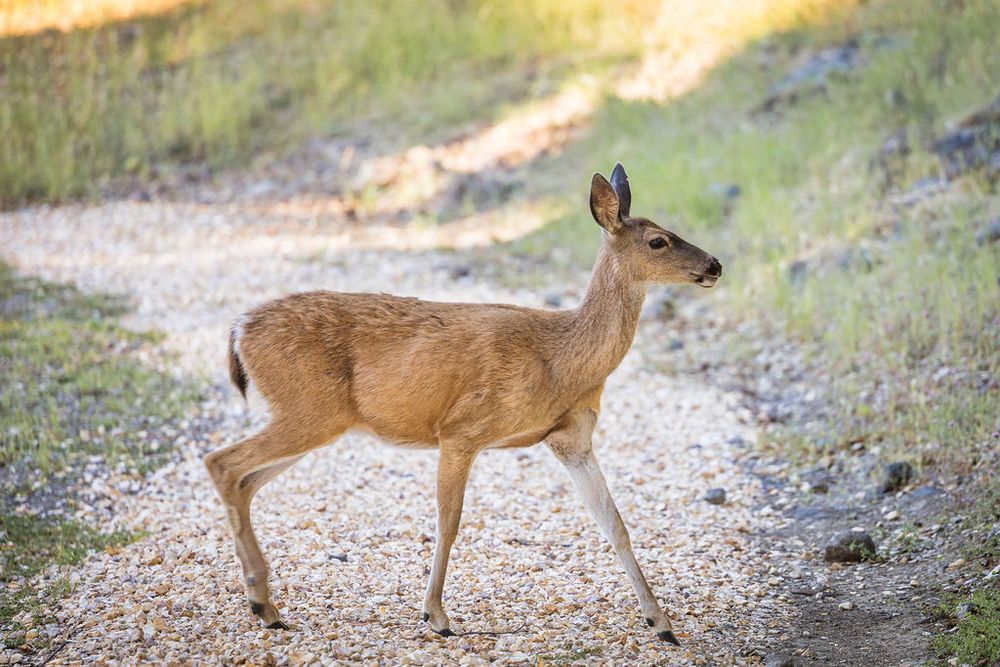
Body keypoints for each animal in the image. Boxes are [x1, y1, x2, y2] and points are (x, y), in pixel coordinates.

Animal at [204, 163, 722, 645]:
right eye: (658, 241)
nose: (715, 264)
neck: (562, 358)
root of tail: (238, 328)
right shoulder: (460, 430)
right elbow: (449, 523)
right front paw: (436, 616)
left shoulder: (570, 439)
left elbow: (615, 524)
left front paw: (662, 624)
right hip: (308, 409)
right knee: (221, 462)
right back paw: (262, 604)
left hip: (313, 419)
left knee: (244, 481)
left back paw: (265, 604)